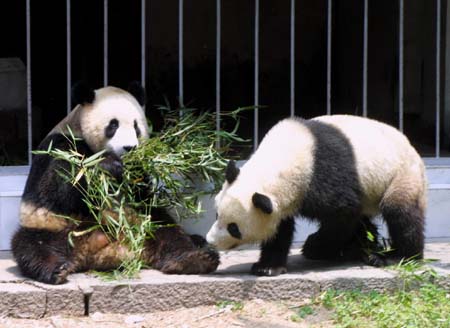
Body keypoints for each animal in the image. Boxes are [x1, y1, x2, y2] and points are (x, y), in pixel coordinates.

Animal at [11, 82, 219, 284]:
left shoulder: (138, 176)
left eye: (136, 126)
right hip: (53, 229)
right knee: (32, 247)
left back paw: (195, 259)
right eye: (113, 125)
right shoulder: (59, 146)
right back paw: (56, 269)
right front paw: (106, 166)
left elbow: (142, 194)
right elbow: (58, 188)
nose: (129, 147)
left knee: (167, 231)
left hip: (143, 223)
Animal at [207, 115, 426, 276]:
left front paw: (314, 247)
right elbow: (280, 228)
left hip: (402, 175)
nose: (210, 241)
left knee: (400, 212)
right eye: (217, 215)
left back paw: (394, 256)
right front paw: (268, 266)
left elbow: (343, 216)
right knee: (367, 219)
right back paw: (360, 248)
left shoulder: (324, 175)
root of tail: (413, 149)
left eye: (234, 228)